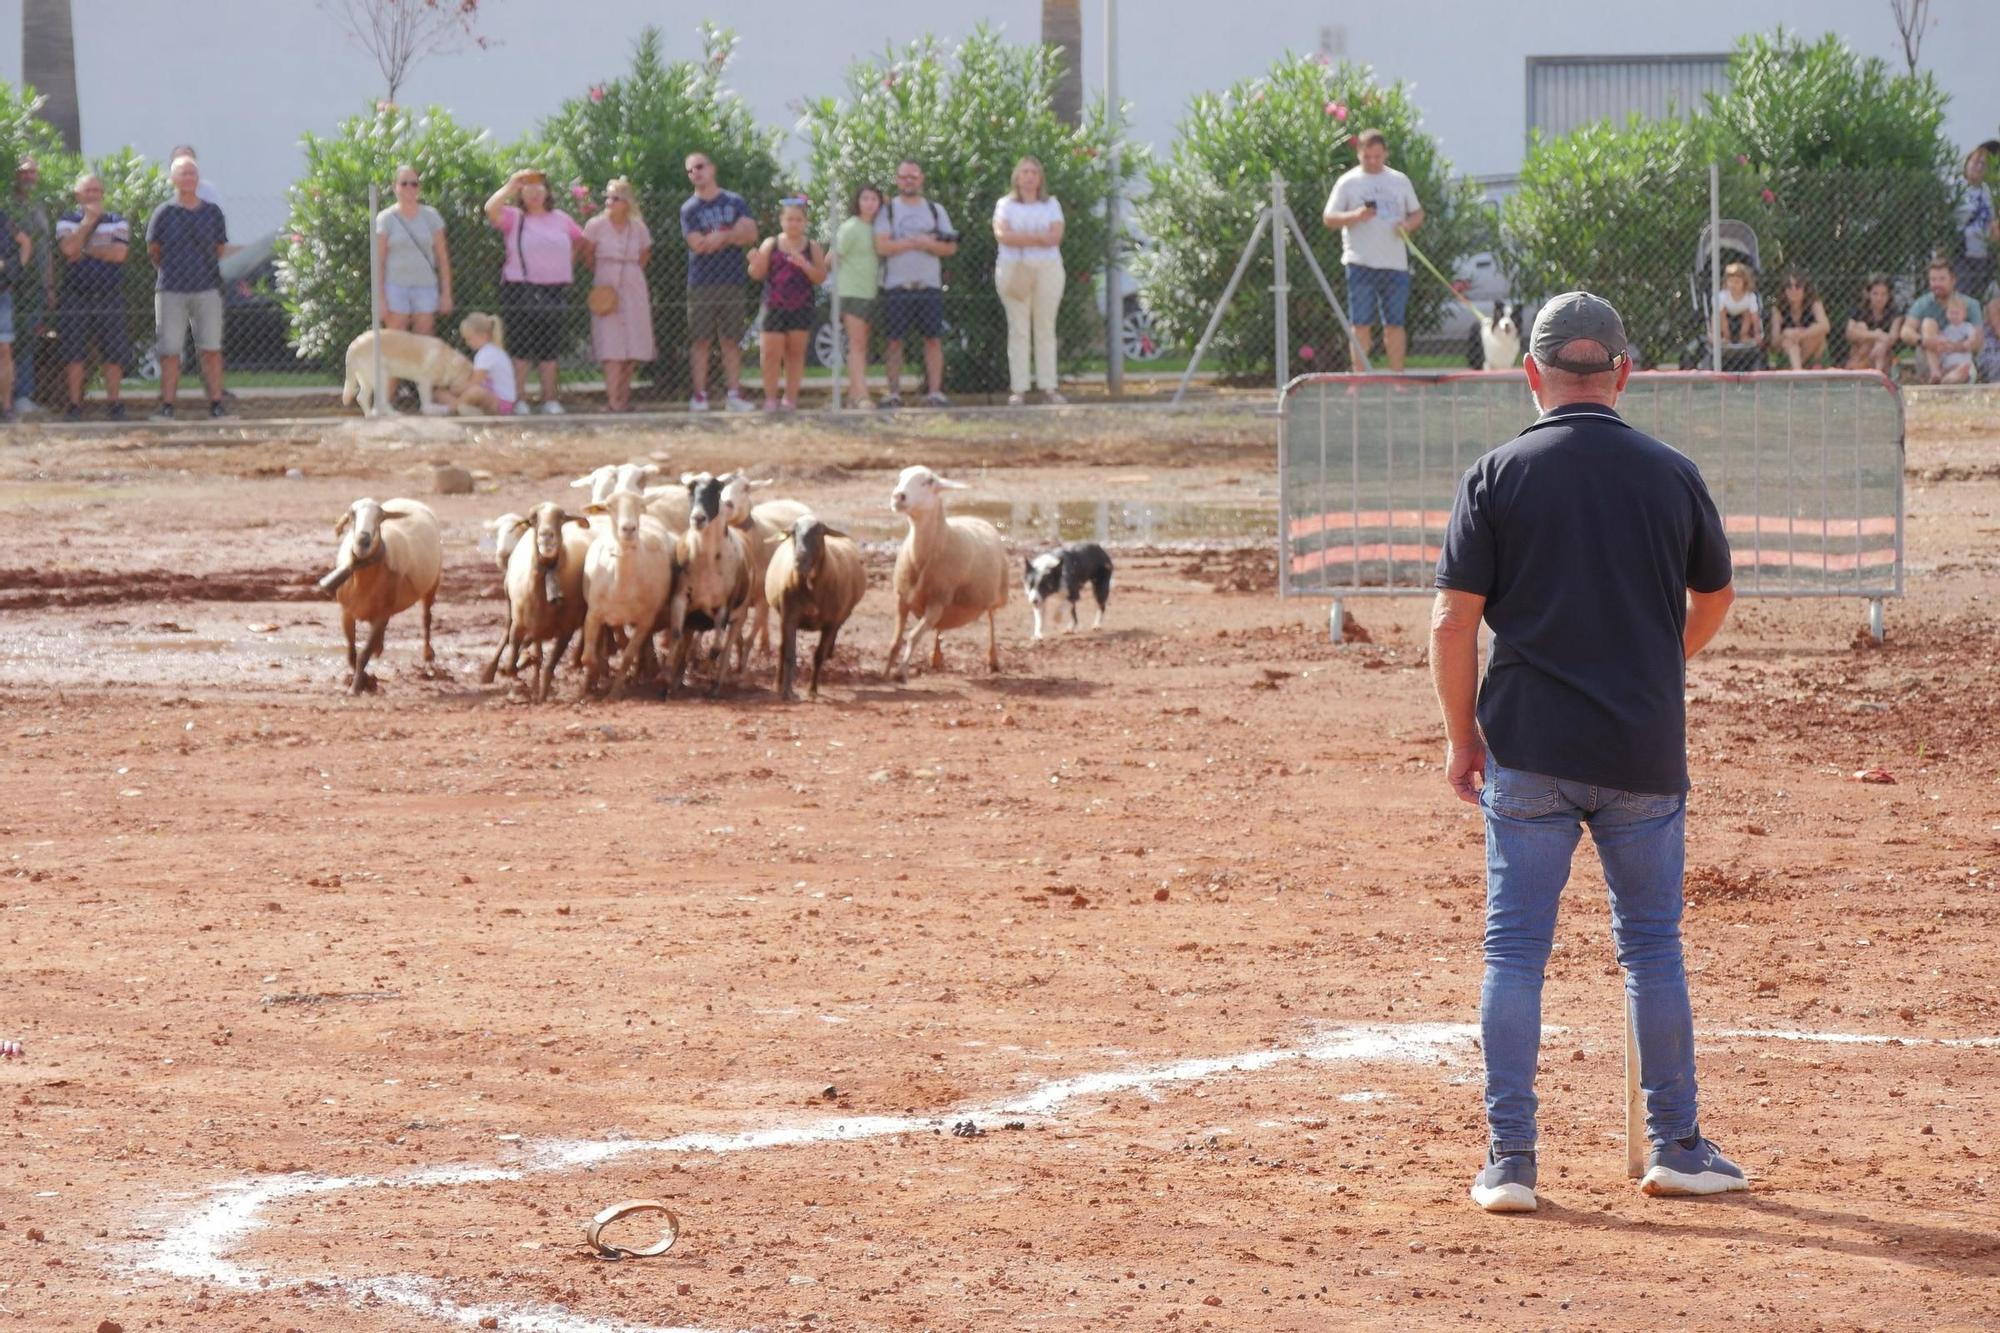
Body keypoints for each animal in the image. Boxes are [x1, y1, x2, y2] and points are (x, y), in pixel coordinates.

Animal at [318, 492, 444, 688]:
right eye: (351, 514)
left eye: (380, 517)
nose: (363, 540)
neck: (362, 581)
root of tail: (409, 500)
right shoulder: (346, 613)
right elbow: (351, 653)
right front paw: (364, 681)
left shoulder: (381, 614)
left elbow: (363, 654)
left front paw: (356, 687)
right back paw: (380, 648)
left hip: (433, 582)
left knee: (427, 618)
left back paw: (428, 656)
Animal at [342, 330, 474, 412]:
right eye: (467, 376)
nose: (469, 387)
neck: (445, 360)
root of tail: (353, 344)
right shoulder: (424, 382)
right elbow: (427, 403)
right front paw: (433, 410)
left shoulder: (422, 383)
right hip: (382, 377)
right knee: (381, 401)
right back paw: (395, 415)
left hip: (367, 380)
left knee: (361, 398)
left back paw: (370, 417)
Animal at [888, 464, 1008, 676]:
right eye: (900, 477)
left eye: (928, 481)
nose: (898, 497)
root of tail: (976, 518)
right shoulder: (902, 598)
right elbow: (895, 642)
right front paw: (885, 672)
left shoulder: (937, 600)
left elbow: (912, 637)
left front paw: (900, 673)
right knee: (940, 626)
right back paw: (936, 657)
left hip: (997, 594)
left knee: (991, 618)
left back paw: (993, 659)